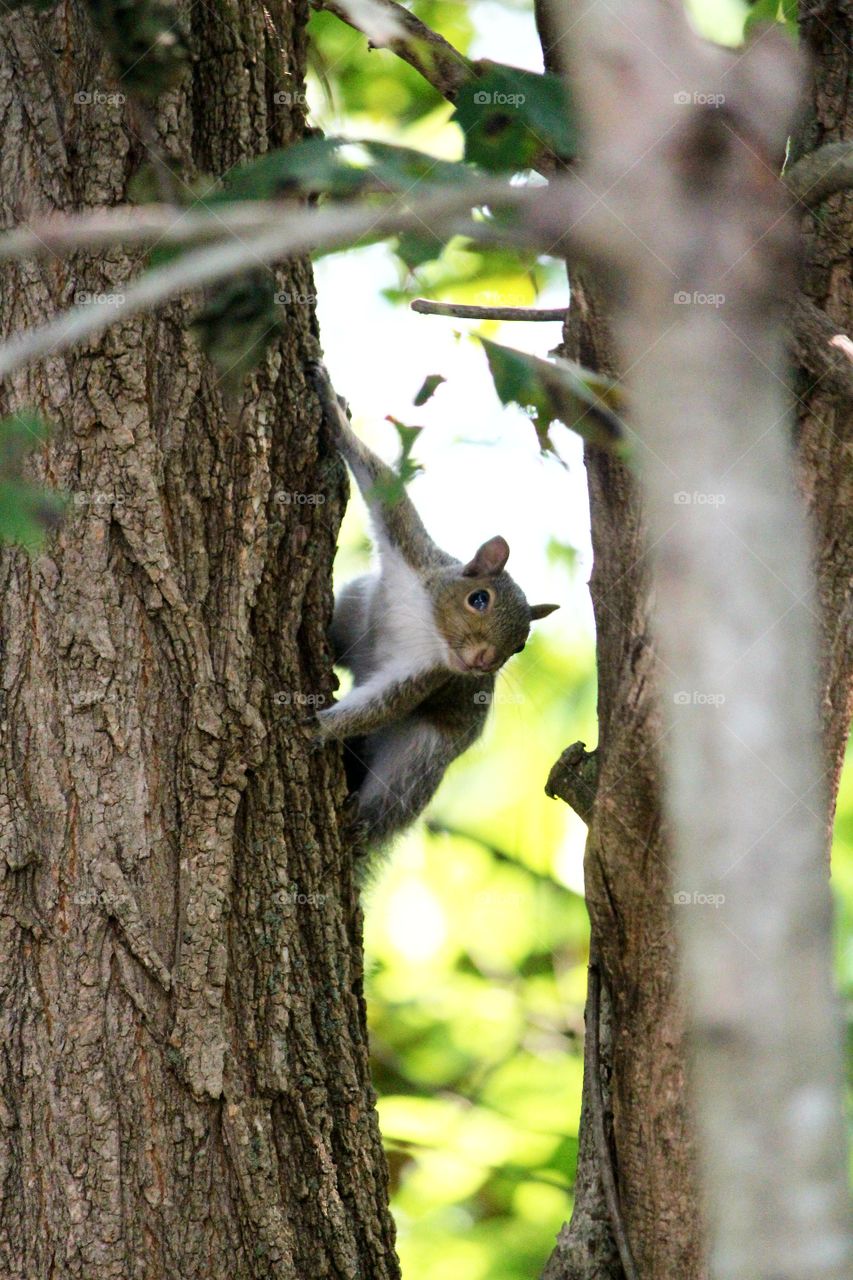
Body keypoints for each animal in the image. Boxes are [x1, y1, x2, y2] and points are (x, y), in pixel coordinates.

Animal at [308, 360, 558, 850]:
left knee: (395, 795)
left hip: (422, 753)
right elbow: (380, 479)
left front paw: (313, 728)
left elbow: (378, 707)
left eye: (520, 646)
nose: (483, 661)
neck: (426, 623)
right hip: (357, 604)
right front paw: (333, 408)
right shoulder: (411, 549)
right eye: (478, 599)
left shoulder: (426, 676)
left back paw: (359, 824)